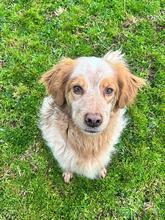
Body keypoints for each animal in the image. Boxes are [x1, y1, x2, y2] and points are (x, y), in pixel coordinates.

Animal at [39, 49, 144, 182]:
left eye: (109, 90)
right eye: (77, 88)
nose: (93, 120)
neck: (88, 142)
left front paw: (101, 170)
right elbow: (66, 163)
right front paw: (67, 173)